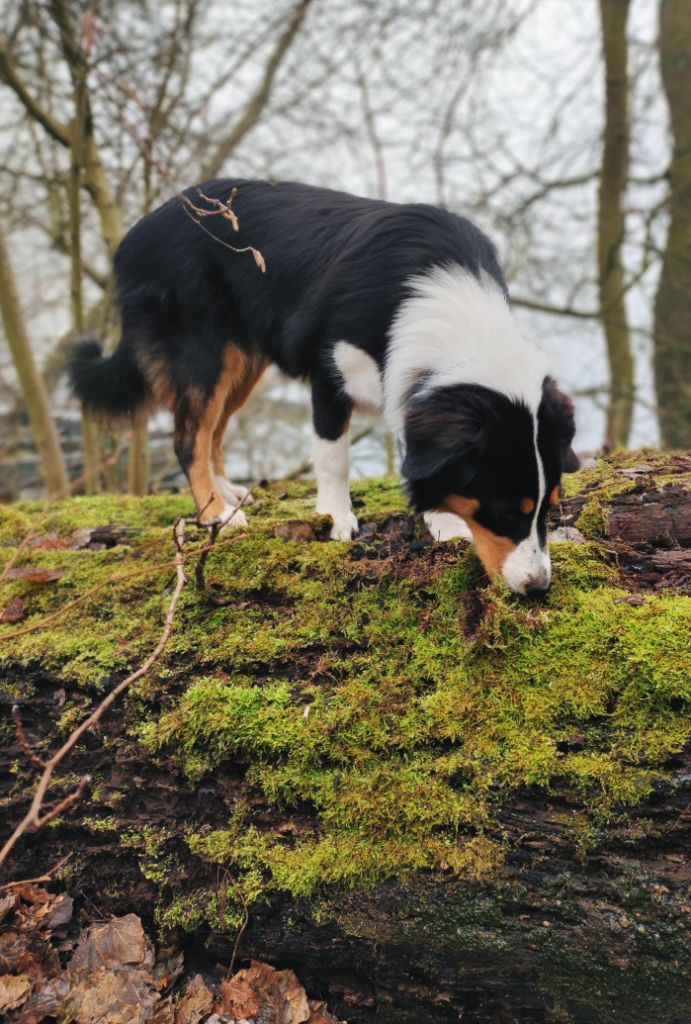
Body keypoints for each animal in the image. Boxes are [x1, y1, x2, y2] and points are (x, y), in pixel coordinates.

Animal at [70, 176, 577, 593]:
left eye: (549, 508)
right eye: (505, 509)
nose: (537, 588)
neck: (458, 320)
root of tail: (135, 233)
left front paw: (440, 520)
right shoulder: (329, 372)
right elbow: (334, 457)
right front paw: (336, 517)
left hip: (243, 358)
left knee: (212, 431)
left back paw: (229, 492)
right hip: (203, 350)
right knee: (189, 437)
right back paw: (218, 514)